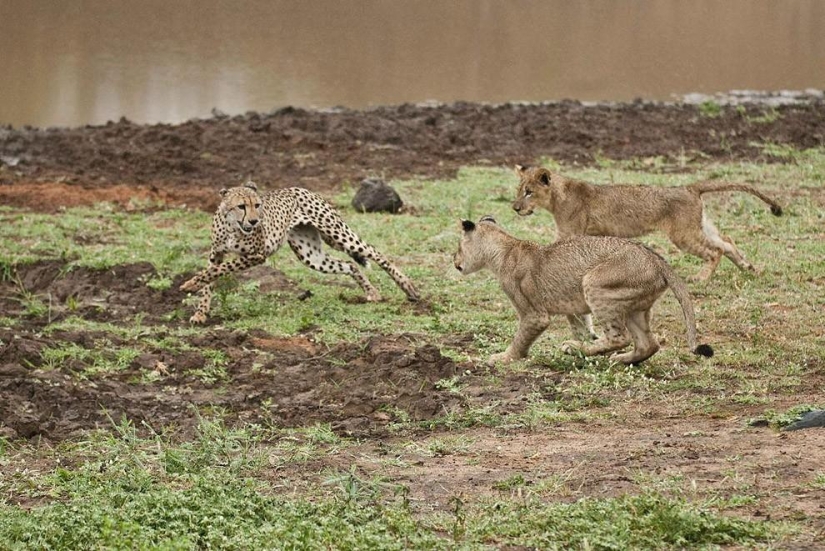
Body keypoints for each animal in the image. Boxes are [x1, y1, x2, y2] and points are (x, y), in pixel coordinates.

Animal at [180, 181, 418, 324]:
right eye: (241, 206)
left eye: (257, 205)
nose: (255, 221)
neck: (232, 227)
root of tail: (301, 188)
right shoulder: (216, 254)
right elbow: (211, 279)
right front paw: (200, 312)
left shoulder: (256, 255)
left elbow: (221, 269)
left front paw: (190, 284)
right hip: (310, 255)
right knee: (350, 264)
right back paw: (372, 292)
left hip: (339, 234)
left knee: (375, 253)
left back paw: (408, 287)